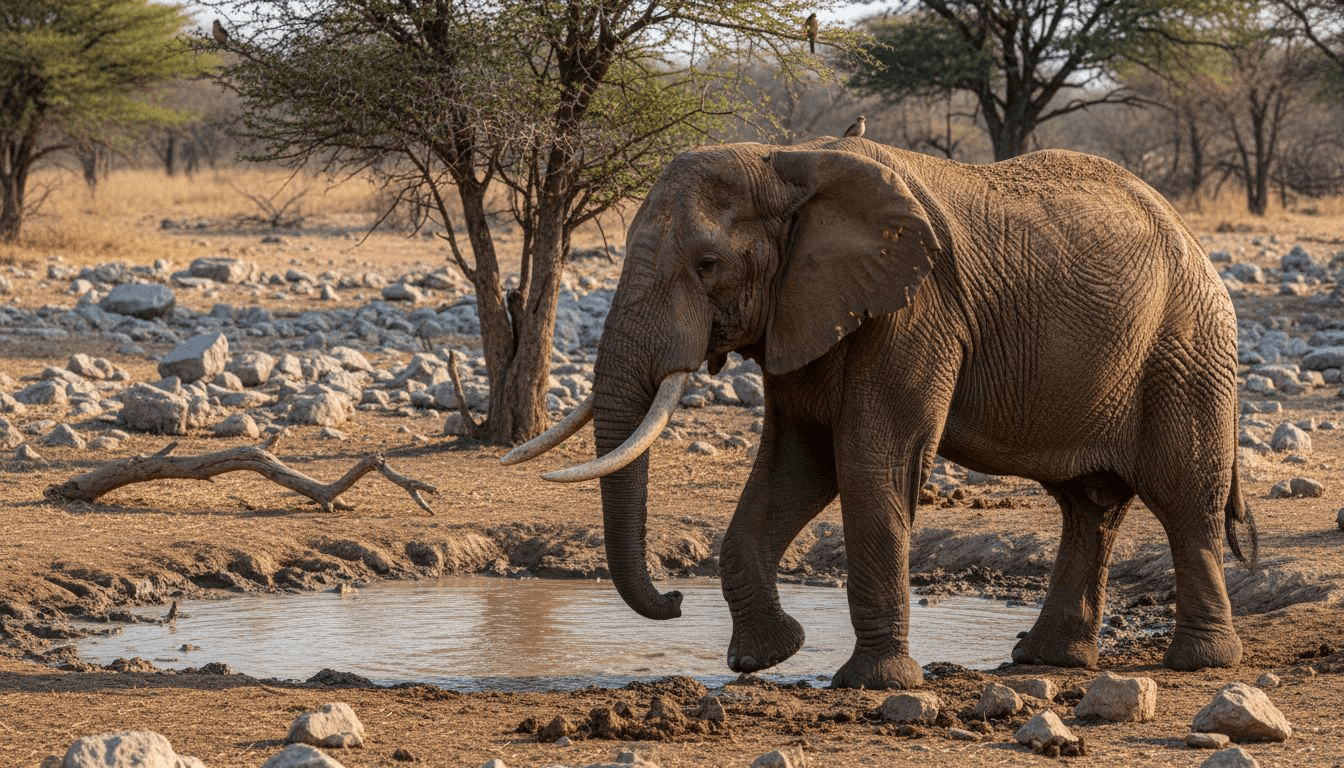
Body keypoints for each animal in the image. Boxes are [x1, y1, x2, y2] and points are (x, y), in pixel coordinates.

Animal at [503, 137, 1258, 690]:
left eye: (707, 263)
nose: (674, 602)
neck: (787, 160)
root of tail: (1195, 243)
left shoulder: (912, 313)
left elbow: (871, 462)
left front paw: (874, 683)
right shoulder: (805, 311)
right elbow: (795, 469)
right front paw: (767, 658)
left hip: (1186, 348)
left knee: (1183, 495)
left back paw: (1199, 663)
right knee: (1088, 504)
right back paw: (1049, 660)